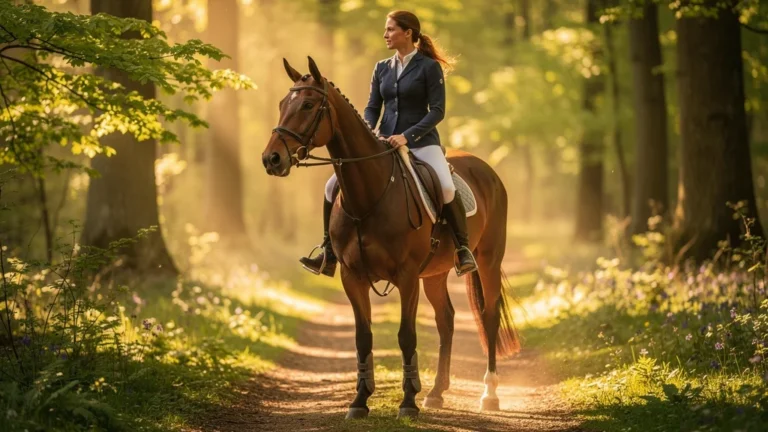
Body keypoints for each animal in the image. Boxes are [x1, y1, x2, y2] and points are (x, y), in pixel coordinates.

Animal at [261, 56, 520, 420]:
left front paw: (408, 402)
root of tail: (487, 170)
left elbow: (406, 336)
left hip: (488, 260)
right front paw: (359, 401)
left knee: (489, 315)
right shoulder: (352, 276)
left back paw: (489, 393)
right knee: (446, 319)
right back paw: (437, 392)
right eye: (283, 104)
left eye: (308, 105)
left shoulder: (407, 276)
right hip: (436, 273)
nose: (271, 159)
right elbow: (363, 338)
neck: (370, 193)